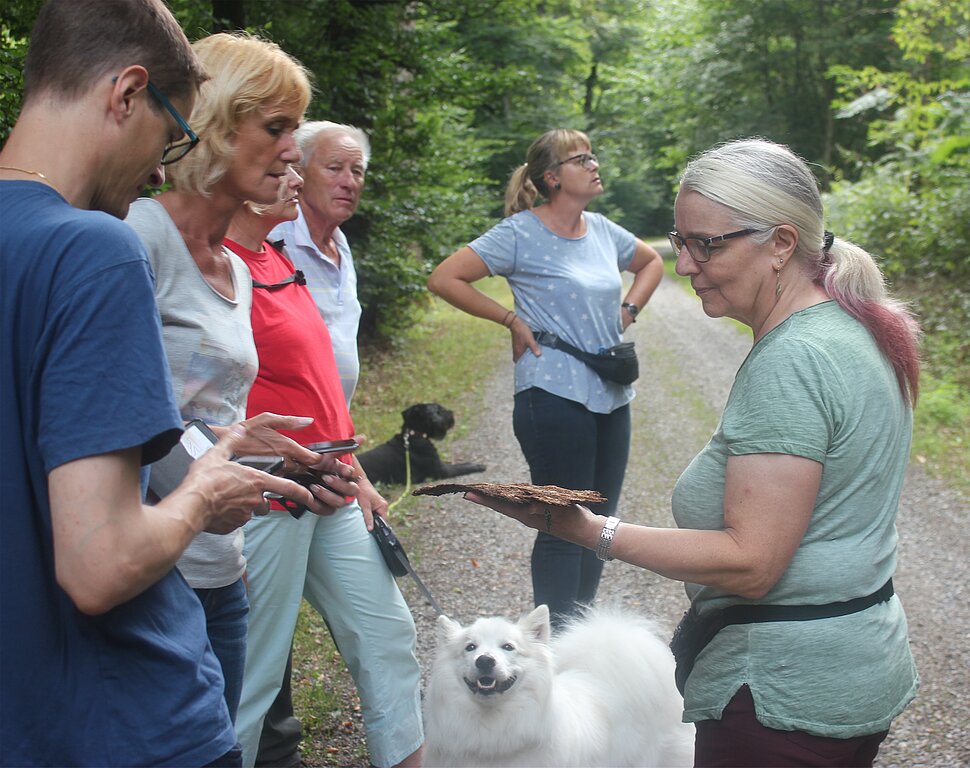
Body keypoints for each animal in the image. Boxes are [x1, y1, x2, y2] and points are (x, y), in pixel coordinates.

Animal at [358, 404, 488, 484]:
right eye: (439, 410)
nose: (451, 413)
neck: (414, 434)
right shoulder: (442, 471)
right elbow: (461, 467)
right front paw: (478, 466)